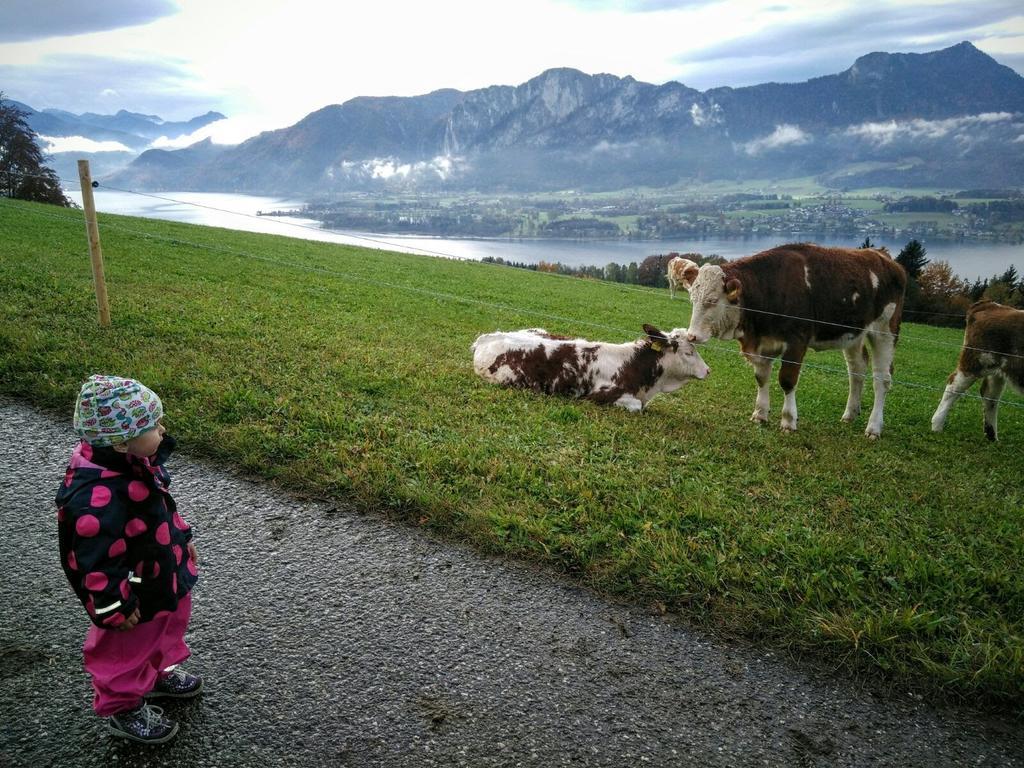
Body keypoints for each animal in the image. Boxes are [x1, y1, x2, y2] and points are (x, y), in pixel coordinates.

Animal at [675, 243, 909, 442]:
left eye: (713, 300)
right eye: (692, 298)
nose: (692, 336)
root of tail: (882, 255)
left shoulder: (796, 342)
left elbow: (787, 380)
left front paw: (788, 421)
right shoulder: (763, 344)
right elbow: (761, 378)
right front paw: (760, 413)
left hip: (885, 330)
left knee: (882, 378)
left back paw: (874, 427)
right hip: (854, 334)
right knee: (857, 370)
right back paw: (850, 414)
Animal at [933, 303, 1019, 444]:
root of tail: (990, 304)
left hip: (995, 370)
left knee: (990, 396)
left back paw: (992, 438)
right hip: (976, 361)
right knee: (953, 386)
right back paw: (937, 426)